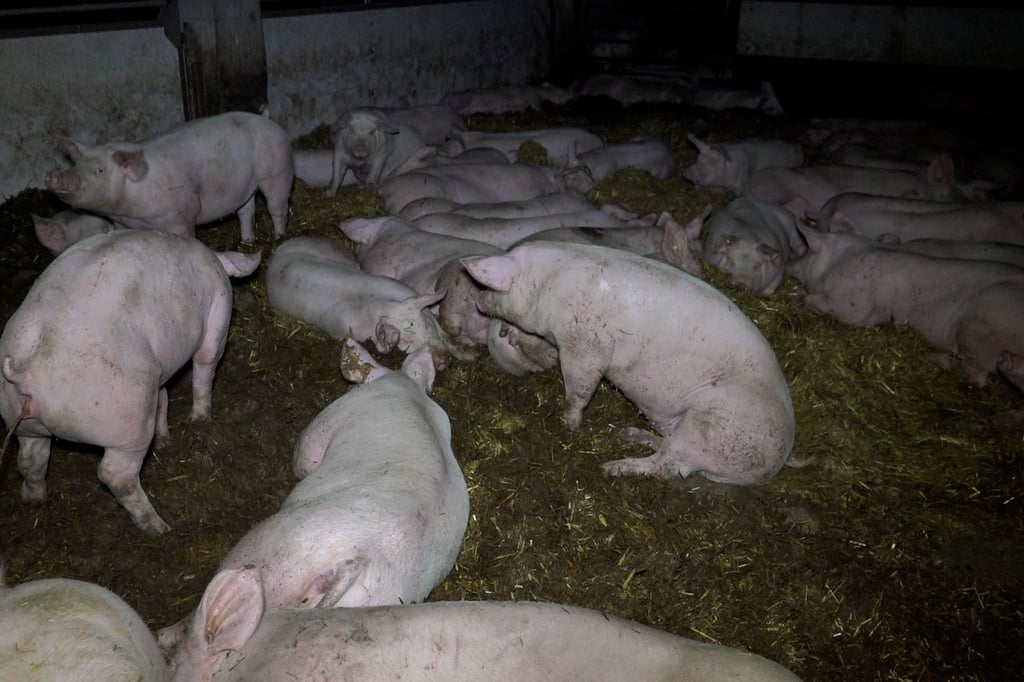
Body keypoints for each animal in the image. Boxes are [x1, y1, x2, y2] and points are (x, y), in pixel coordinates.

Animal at [0, 229, 262, 534]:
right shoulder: (218, 312)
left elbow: (164, 397)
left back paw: (34, 500)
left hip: (19, 416)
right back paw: (159, 528)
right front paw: (200, 420)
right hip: (127, 416)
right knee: (114, 475)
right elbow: (205, 366)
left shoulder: (158, 374)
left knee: (29, 458)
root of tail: (26, 369)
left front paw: (165, 440)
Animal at [44, 110, 293, 243]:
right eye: (76, 164)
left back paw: (279, 238)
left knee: (277, 208)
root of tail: (266, 118)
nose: (53, 175)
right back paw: (247, 241)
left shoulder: (181, 215)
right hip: (245, 185)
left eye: (100, 170)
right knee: (246, 210)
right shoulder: (123, 225)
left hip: (278, 171)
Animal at [158, 339, 469, 656]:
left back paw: (163, 635)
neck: (409, 392)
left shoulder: (326, 423)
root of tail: (356, 560)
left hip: (268, 550)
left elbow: (304, 459)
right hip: (372, 597)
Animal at [462, 242, 797, 483]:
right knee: (664, 445)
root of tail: (780, 459)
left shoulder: (585, 347)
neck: (547, 285)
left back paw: (611, 467)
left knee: (670, 467)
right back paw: (625, 435)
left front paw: (567, 425)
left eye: (491, 286)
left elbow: (579, 392)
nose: (477, 301)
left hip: (713, 427)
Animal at [788, 226, 1024, 390]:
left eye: (807, 251)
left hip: (981, 326)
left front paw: (798, 295)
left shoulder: (851, 304)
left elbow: (817, 301)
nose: (789, 263)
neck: (836, 263)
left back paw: (934, 358)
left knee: (975, 376)